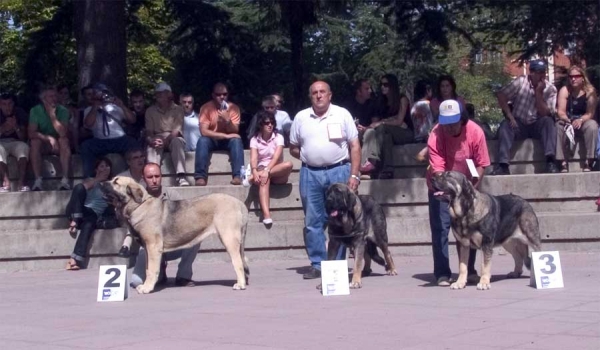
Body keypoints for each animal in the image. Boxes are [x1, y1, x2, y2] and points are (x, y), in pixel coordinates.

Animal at [101, 176, 248, 294]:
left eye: (116, 182)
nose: (101, 183)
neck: (139, 205)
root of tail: (239, 203)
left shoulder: (153, 246)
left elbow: (152, 270)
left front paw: (147, 288)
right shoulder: (149, 249)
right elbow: (148, 269)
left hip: (229, 239)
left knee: (238, 262)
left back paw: (240, 284)